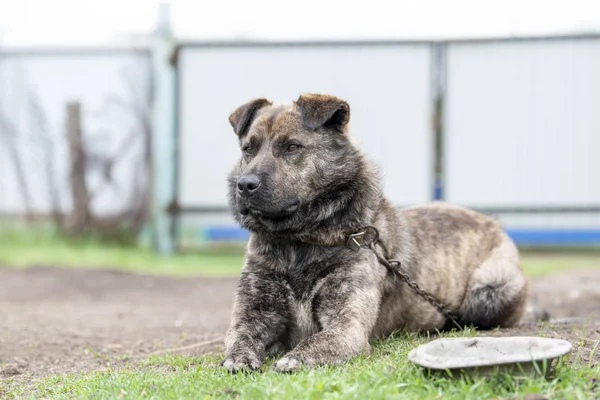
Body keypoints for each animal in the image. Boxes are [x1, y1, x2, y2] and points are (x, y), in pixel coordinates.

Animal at [221, 93, 528, 372]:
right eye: (248, 149)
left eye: (291, 147)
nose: (245, 185)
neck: (299, 243)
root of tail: (491, 221)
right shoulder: (252, 313)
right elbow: (238, 337)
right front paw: (239, 357)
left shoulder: (347, 327)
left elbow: (316, 341)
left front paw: (294, 358)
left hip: (489, 291)